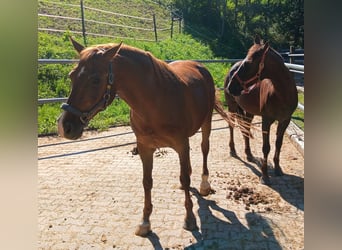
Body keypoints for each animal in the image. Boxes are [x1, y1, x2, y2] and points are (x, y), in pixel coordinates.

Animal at [57, 37, 231, 236]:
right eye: (72, 76)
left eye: (95, 80)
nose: (64, 126)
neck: (156, 100)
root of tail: (200, 67)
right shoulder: (145, 147)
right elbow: (147, 182)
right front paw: (145, 222)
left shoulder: (181, 144)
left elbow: (185, 178)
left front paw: (190, 218)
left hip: (207, 123)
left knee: (204, 149)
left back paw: (204, 185)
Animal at [224, 36, 296, 186]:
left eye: (248, 63)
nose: (231, 86)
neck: (281, 93)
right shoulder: (266, 121)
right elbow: (266, 147)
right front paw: (265, 176)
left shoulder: (285, 121)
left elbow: (278, 144)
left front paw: (278, 169)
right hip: (232, 107)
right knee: (231, 126)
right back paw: (233, 150)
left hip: (249, 112)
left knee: (246, 128)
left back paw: (249, 154)